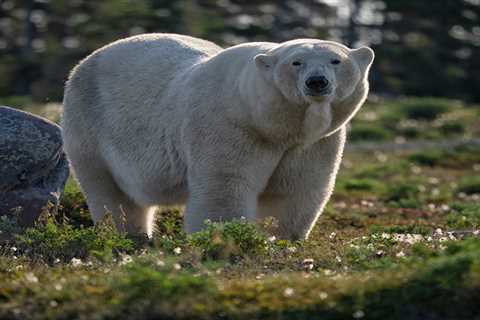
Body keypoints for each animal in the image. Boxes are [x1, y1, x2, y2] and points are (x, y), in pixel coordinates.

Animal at [62, 34, 374, 240]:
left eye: (336, 60)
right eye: (296, 62)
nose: (317, 82)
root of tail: (82, 63)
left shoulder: (314, 142)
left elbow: (295, 190)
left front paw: (282, 238)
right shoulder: (229, 125)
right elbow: (225, 186)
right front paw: (225, 237)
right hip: (88, 126)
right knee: (109, 190)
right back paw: (128, 235)